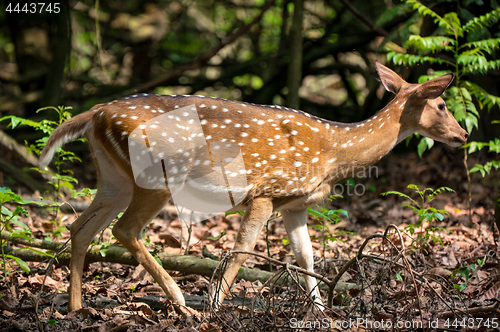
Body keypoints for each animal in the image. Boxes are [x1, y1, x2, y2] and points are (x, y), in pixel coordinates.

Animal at [40, 62, 468, 314]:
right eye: (442, 105)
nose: (464, 135)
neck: (332, 151)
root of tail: (95, 113)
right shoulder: (265, 191)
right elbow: (244, 248)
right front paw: (215, 306)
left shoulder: (294, 202)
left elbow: (307, 255)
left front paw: (321, 312)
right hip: (157, 175)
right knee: (123, 229)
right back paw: (180, 301)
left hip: (115, 179)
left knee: (80, 228)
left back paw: (76, 308)